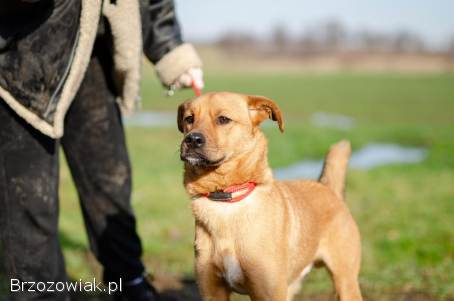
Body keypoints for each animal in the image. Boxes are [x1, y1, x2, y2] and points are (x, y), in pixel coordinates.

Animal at [177, 92, 362, 300]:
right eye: (189, 119)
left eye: (223, 119)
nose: (192, 139)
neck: (226, 200)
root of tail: (328, 188)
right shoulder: (212, 291)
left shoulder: (267, 292)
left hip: (345, 282)